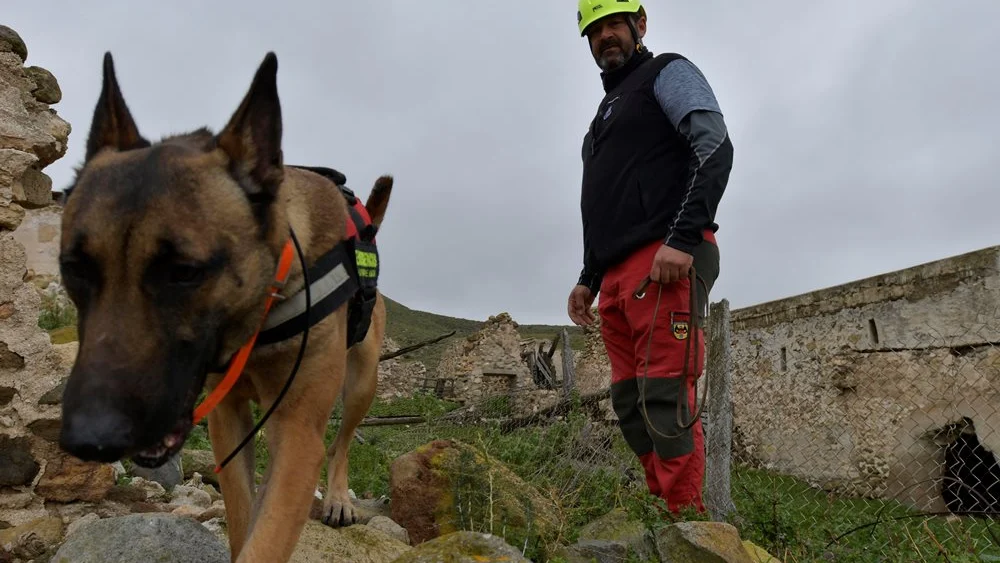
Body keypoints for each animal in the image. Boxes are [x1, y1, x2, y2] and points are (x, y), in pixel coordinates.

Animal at [53, 50, 390, 560]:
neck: (260, 312)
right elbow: (243, 518)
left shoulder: (298, 433)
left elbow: (266, 536)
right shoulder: (228, 420)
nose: (90, 439)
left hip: (361, 383)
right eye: (75, 268)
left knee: (342, 441)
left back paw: (336, 497)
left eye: (184, 272)